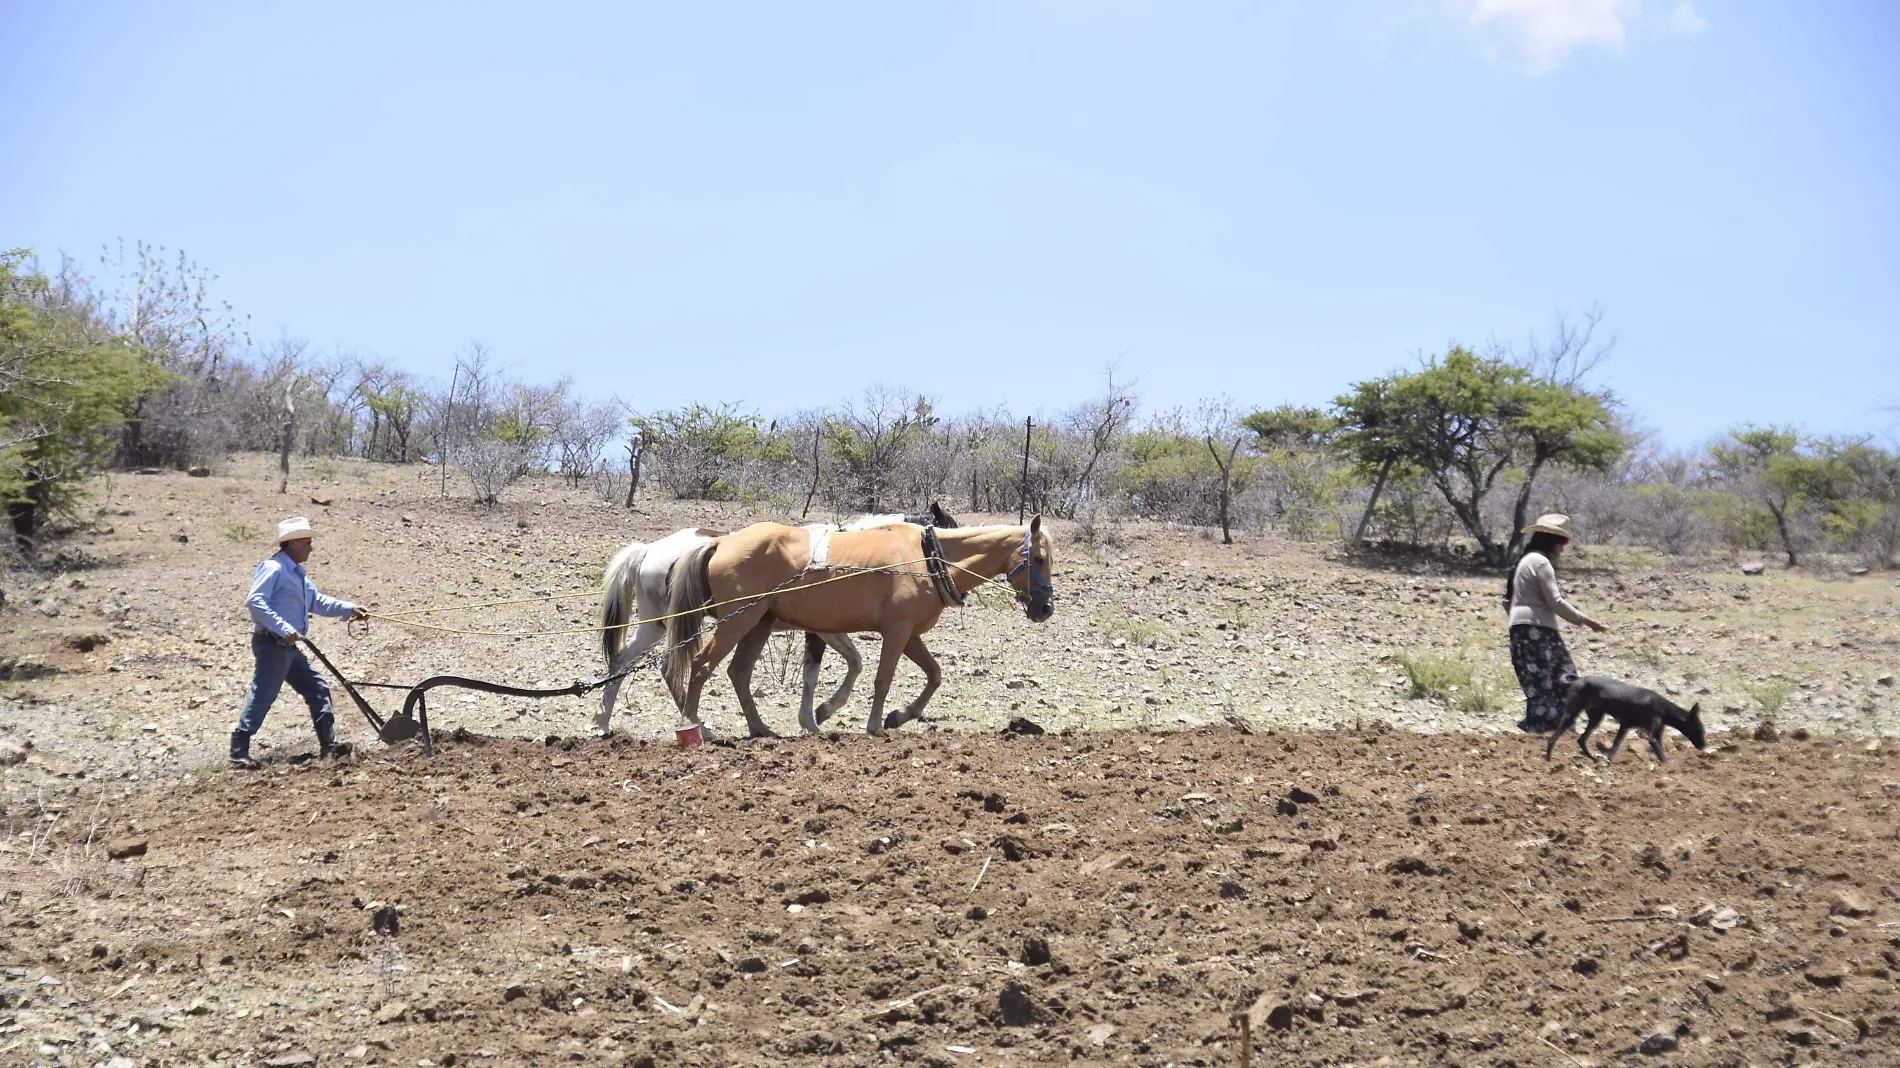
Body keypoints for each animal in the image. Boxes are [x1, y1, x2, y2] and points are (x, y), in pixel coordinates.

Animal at [589, 501, 957, 737]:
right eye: (947, 527)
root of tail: (648, 551)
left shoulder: (821, 629)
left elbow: (832, 668)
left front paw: (814, 718)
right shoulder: (821, 630)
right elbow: (837, 667)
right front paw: (817, 717)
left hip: (656, 626)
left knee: (624, 662)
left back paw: (605, 722)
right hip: (680, 624)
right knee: (670, 666)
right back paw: (698, 726)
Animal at [665, 520, 1056, 737]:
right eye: (1037, 558)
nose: (1045, 608)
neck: (927, 558)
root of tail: (721, 542)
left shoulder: (910, 635)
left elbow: (934, 674)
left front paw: (897, 716)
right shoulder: (896, 632)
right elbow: (883, 678)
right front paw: (874, 724)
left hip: (758, 623)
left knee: (739, 672)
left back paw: (760, 728)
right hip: (737, 622)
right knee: (701, 666)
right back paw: (697, 727)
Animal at [1542, 668, 1710, 760]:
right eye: (1700, 729)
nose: (1704, 746)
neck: (1664, 709)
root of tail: (1578, 679)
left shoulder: (1626, 726)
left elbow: (1614, 747)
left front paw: (1608, 760)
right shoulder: (1652, 737)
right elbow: (1663, 757)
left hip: (1596, 717)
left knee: (1581, 740)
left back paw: (1593, 758)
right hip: (1572, 713)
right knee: (1552, 739)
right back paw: (1548, 759)